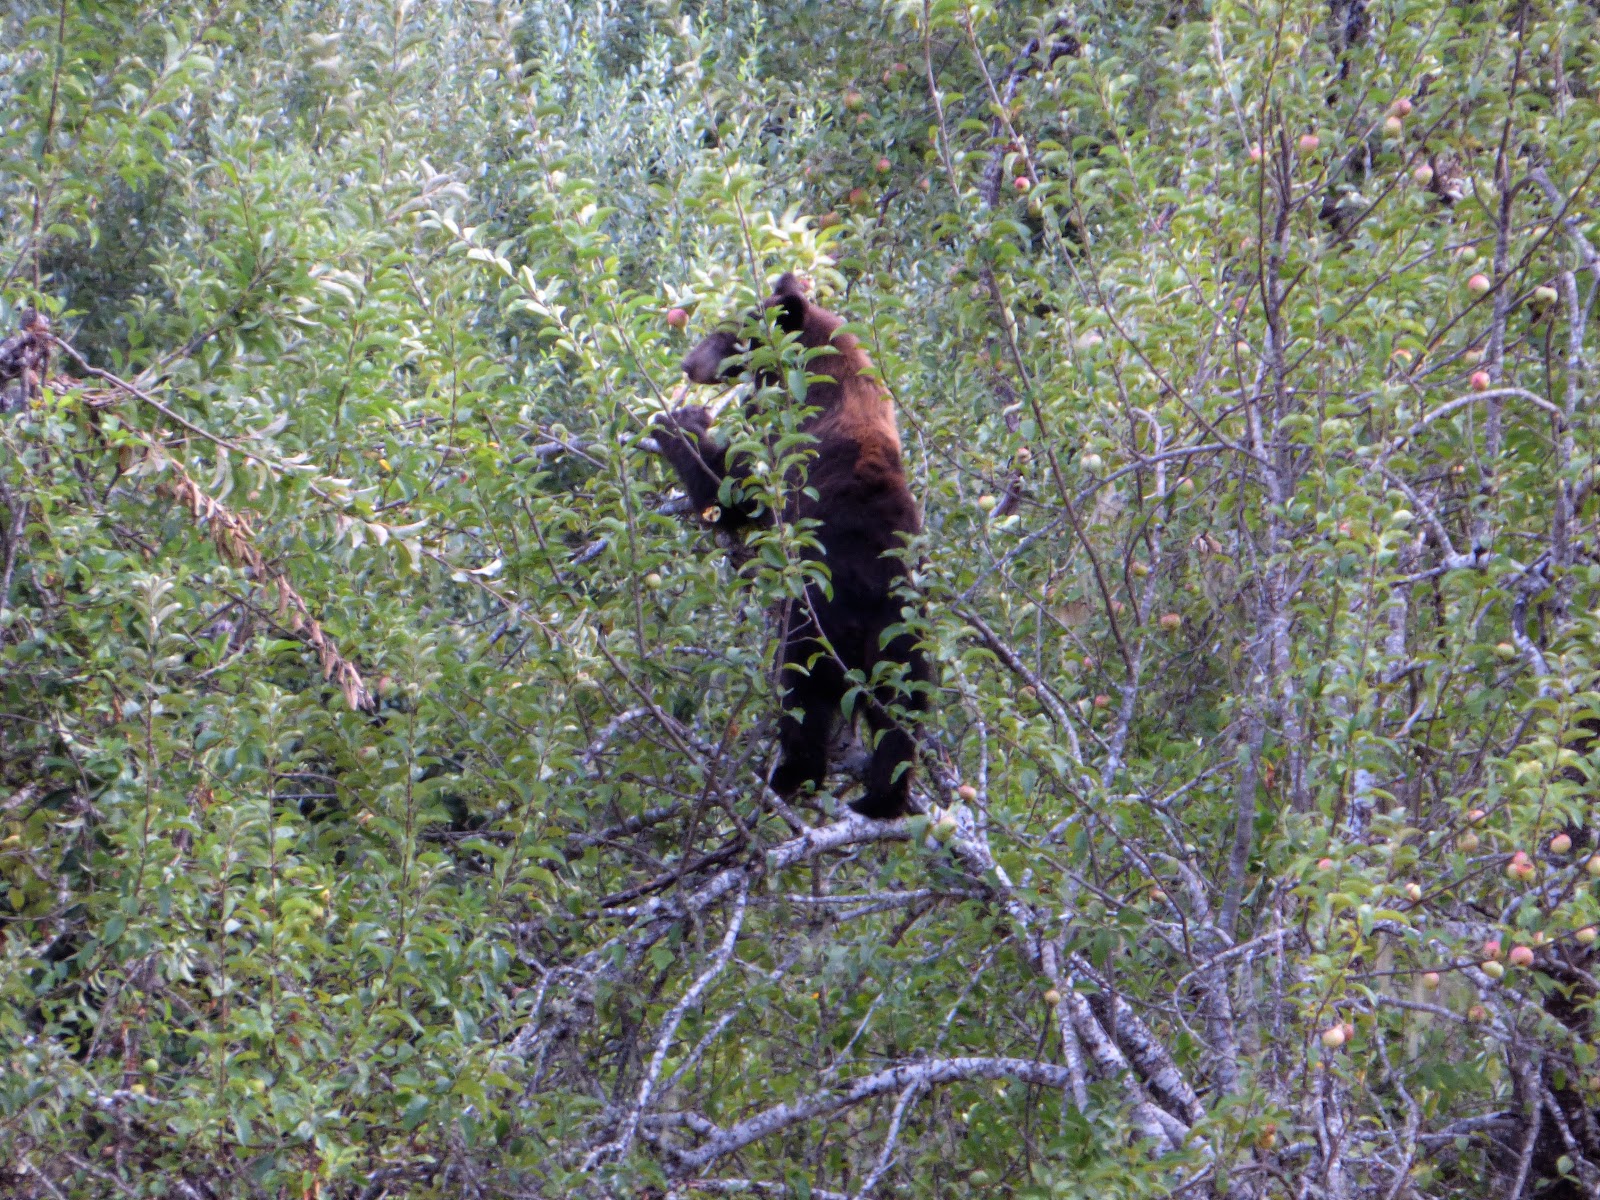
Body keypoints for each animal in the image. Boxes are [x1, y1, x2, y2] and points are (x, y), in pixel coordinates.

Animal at [649, 273, 930, 819]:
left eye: (730, 331)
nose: (688, 364)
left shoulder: (791, 438)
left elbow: (732, 490)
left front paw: (681, 421)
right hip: (903, 640)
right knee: (901, 710)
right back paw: (882, 798)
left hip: (816, 622)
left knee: (803, 693)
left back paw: (793, 775)